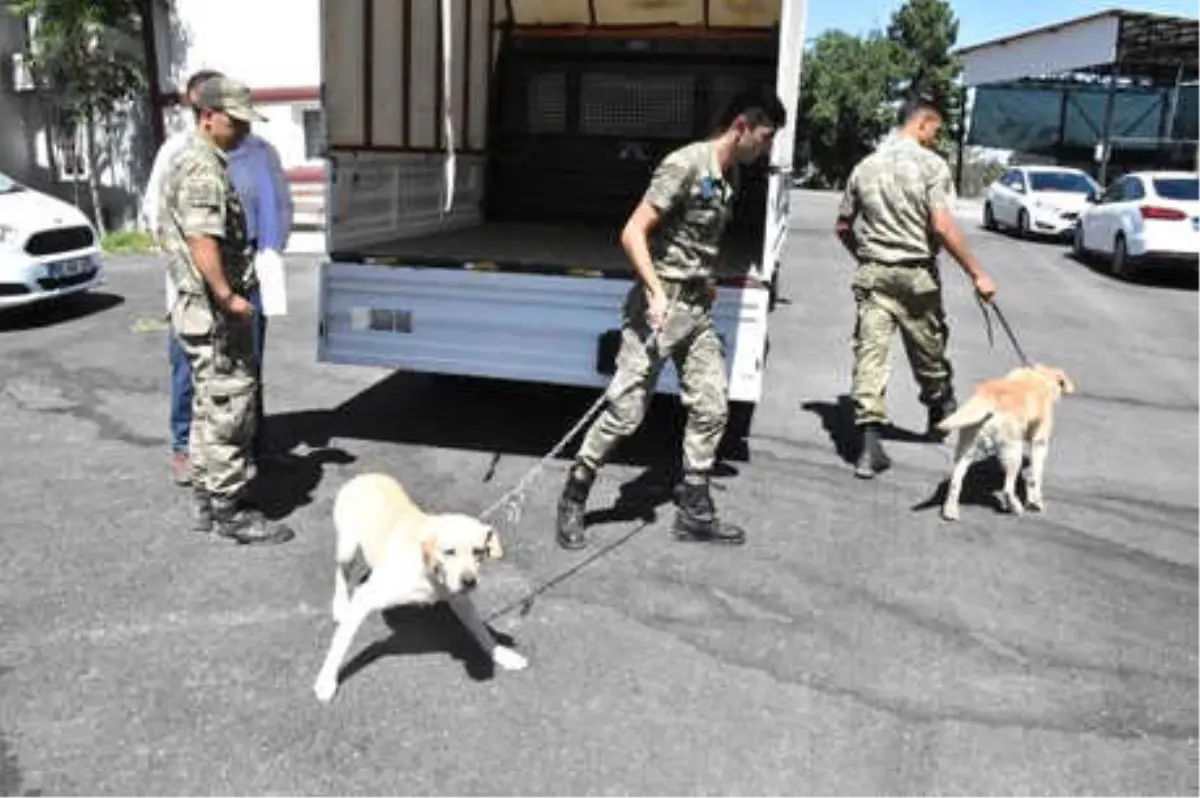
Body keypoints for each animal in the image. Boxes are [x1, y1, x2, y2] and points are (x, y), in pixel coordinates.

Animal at [314, 470, 530, 700]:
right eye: (449, 551)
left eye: (478, 551)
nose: (469, 582)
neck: (429, 571)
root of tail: (366, 475)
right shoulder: (366, 597)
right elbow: (340, 644)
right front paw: (326, 680)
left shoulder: (459, 598)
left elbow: (480, 629)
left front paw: (501, 654)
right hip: (347, 546)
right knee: (341, 570)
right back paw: (340, 605)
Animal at [936, 362, 1080, 523]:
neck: (1039, 378)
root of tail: (988, 398)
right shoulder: (1039, 443)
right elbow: (1035, 477)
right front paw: (1035, 502)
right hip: (1013, 453)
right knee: (1007, 489)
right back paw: (1015, 507)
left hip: (966, 449)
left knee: (955, 482)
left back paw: (950, 510)